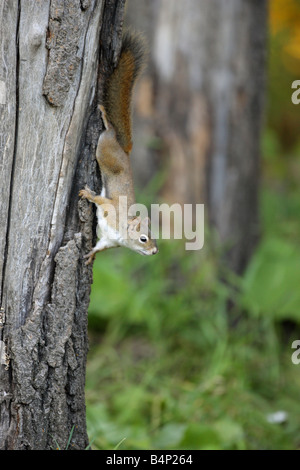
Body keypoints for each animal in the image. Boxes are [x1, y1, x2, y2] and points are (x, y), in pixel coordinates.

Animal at [79, 30, 159, 264]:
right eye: (143, 239)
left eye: (153, 237)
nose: (155, 251)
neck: (122, 230)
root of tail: (124, 149)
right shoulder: (110, 208)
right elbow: (100, 200)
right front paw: (87, 195)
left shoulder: (109, 240)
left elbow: (100, 247)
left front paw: (91, 256)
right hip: (103, 149)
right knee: (109, 131)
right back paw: (106, 118)